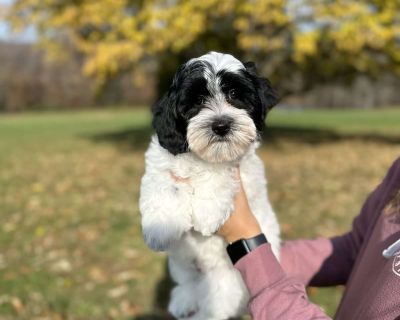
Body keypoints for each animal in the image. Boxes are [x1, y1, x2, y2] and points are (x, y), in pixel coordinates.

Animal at [141, 51, 282, 318]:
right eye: (197, 101)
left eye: (234, 94)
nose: (221, 125)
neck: (202, 158)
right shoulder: (161, 159)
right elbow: (163, 184)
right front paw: (160, 227)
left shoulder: (243, 169)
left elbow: (220, 173)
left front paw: (206, 213)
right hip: (181, 261)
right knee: (187, 281)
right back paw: (183, 300)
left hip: (227, 285)